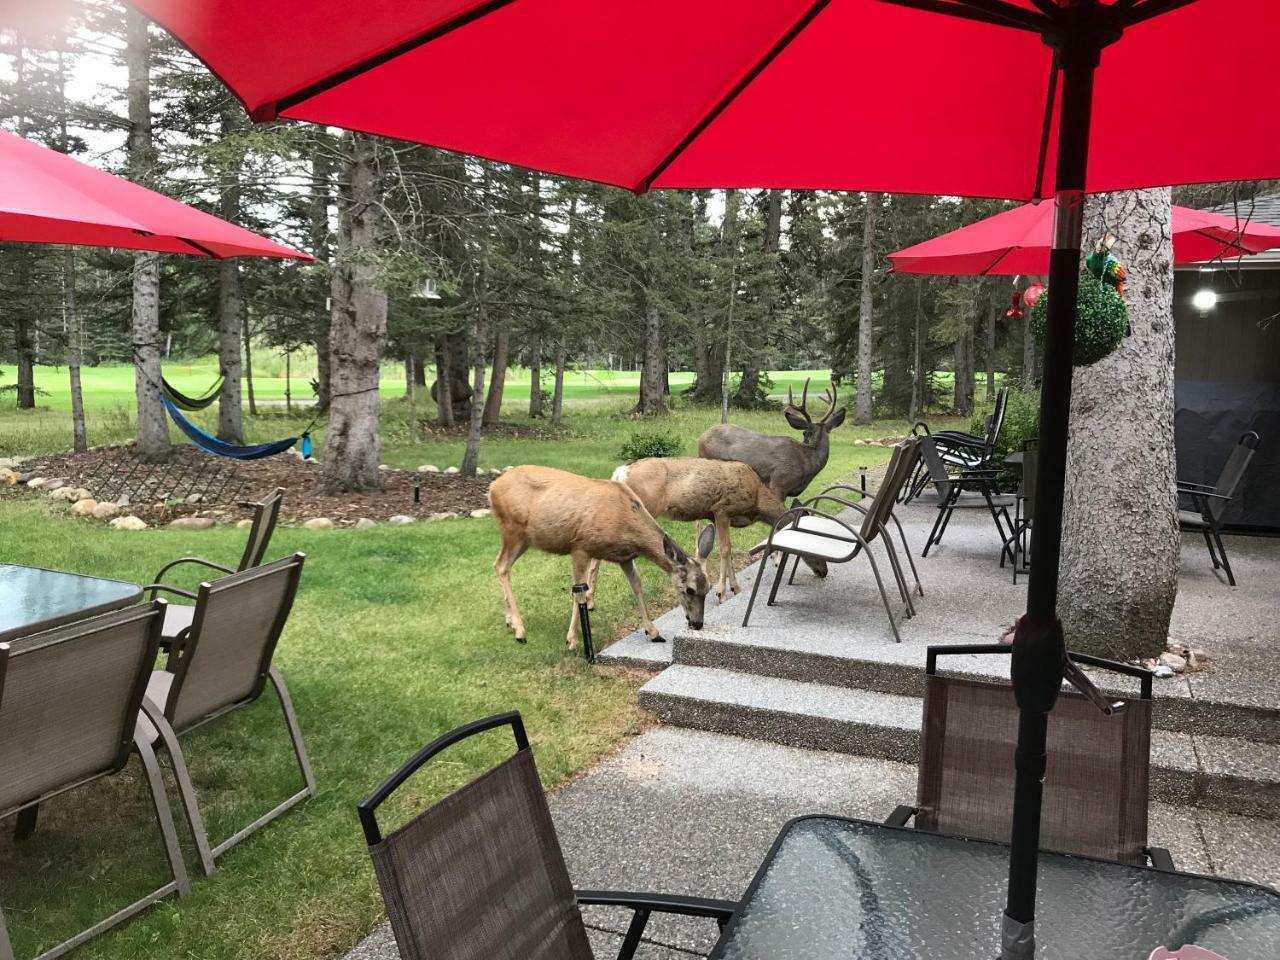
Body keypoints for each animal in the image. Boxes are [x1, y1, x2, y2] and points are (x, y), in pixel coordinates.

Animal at [486, 463, 711, 647]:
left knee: (499, 564)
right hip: (512, 529)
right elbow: (579, 591)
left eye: (707, 588)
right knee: (502, 565)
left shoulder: (624, 557)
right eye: (690, 589)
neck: (625, 522)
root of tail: (492, 488)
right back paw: (520, 630)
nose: (698, 623)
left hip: (524, 539)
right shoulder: (580, 547)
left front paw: (654, 632)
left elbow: (637, 586)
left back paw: (509, 621)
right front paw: (572, 640)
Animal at [611, 458, 783, 601]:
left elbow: (728, 550)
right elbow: (725, 549)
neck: (757, 498)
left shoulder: (715, 517)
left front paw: (735, 588)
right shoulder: (722, 509)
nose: (777, 565)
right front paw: (721, 593)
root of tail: (620, 473)